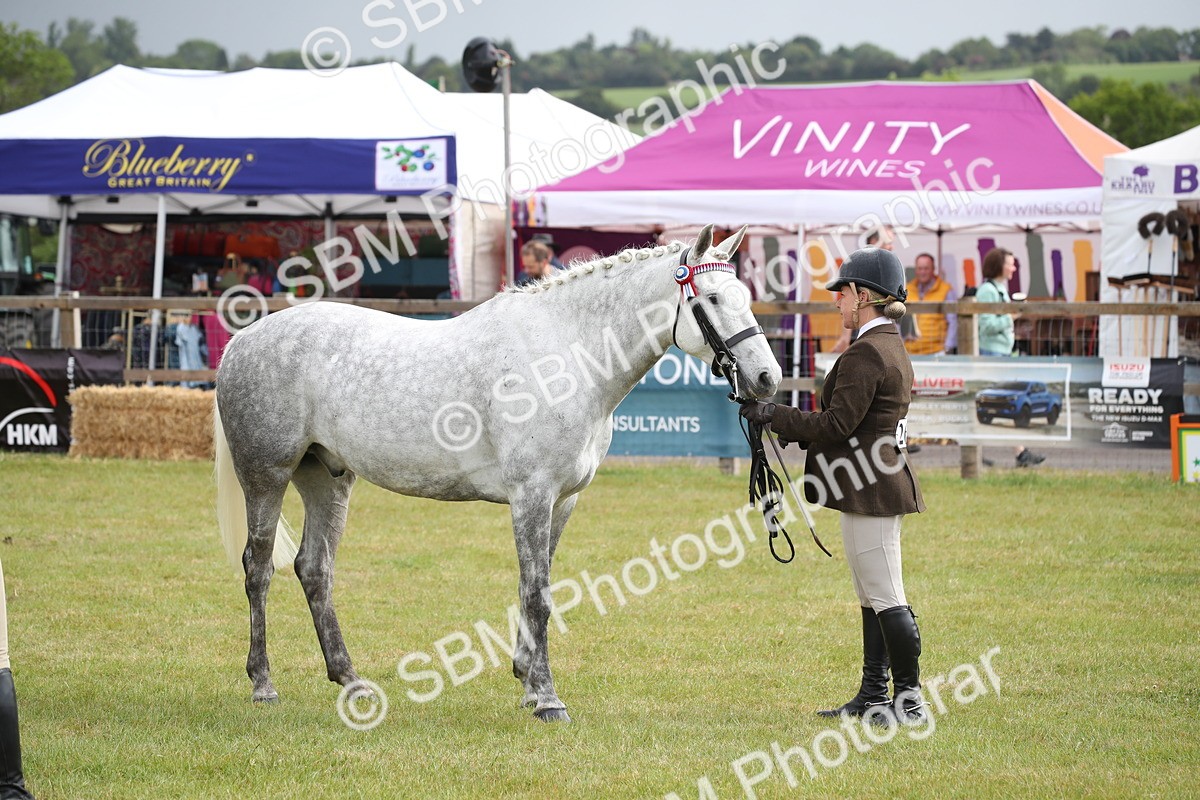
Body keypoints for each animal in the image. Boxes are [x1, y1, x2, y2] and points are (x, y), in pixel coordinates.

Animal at [213, 223, 782, 722]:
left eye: (745, 296)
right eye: (711, 299)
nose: (766, 377)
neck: (566, 354)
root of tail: (241, 341)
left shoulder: (562, 500)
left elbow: (540, 587)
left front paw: (528, 681)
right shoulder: (532, 494)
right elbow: (537, 593)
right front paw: (548, 699)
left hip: (327, 477)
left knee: (314, 569)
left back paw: (351, 682)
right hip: (266, 476)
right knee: (258, 568)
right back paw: (264, 685)